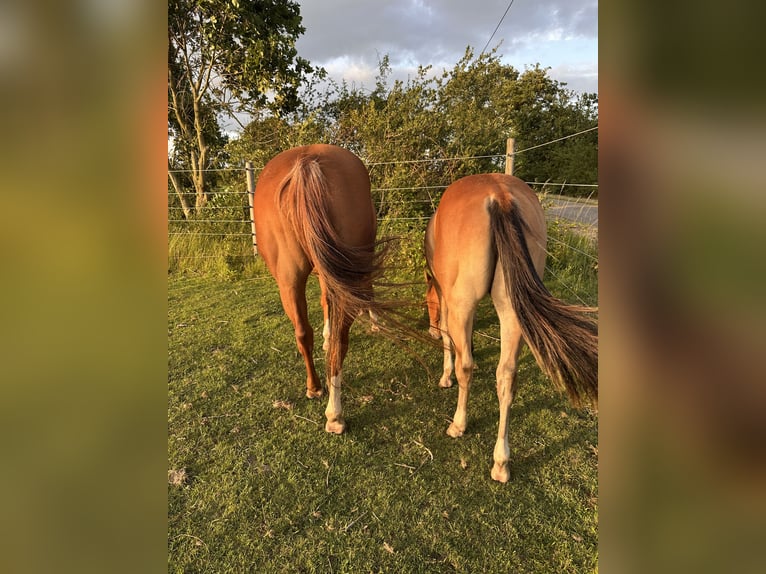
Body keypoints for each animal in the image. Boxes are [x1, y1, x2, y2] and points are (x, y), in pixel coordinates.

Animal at [253, 144, 385, 434]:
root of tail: (306, 162)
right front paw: (373, 320)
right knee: (338, 340)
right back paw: (332, 412)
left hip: (289, 280)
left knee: (303, 332)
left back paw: (317, 392)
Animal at [424, 173, 598, 482]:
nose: (427, 328)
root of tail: (500, 196)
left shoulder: (448, 300)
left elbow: (449, 338)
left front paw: (446, 377)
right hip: (512, 309)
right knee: (506, 377)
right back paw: (501, 463)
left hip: (464, 303)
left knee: (467, 367)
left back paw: (458, 424)